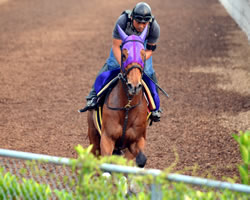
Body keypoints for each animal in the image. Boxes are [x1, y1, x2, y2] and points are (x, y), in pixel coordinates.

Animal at [87, 24, 149, 168]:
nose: (134, 85)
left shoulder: (137, 139)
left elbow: (141, 159)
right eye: (124, 55)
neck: (127, 107)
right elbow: (107, 163)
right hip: (93, 136)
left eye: (143, 54)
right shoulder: (107, 138)